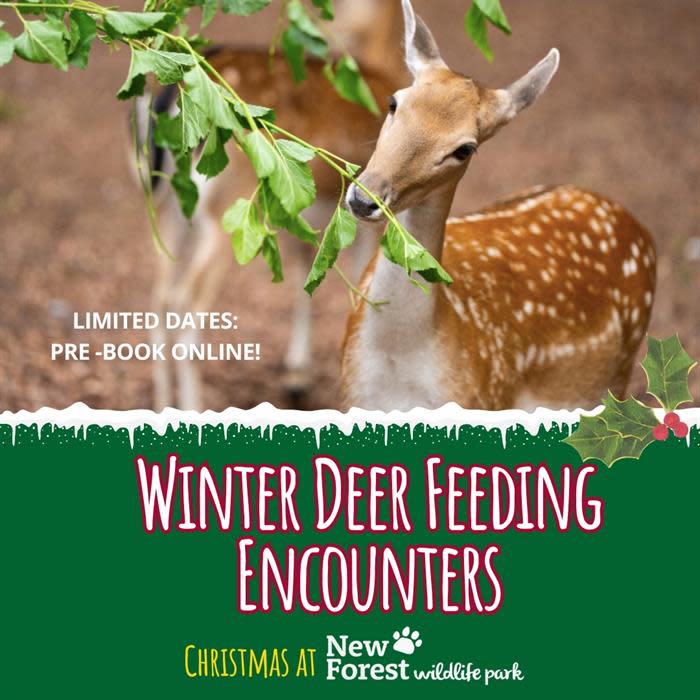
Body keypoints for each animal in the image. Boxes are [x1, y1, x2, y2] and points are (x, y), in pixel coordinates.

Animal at [135, 0, 404, 411]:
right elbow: (359, 286)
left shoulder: (304, 211)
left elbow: (303, 279)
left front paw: (297, 377)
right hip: (228, 211)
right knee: (185, 305)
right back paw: (193, 407)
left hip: (167, 208)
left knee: (159, 298)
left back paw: (163, 406)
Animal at [341, 0, 657, 412]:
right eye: (394, 102)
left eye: (464, 149)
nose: (364, 199)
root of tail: (637, 227)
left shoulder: (483, 398)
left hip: (615, 379)